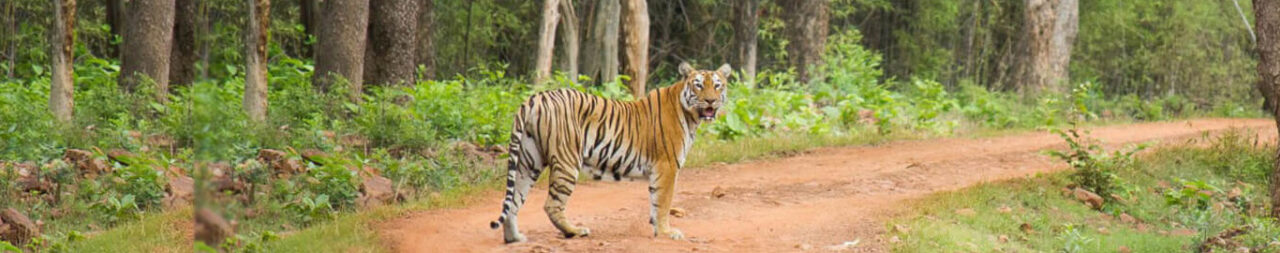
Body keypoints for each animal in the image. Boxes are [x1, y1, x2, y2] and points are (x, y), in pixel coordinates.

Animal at [486, 62, 732, 244]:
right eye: (698, 85)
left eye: (717, 85)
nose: (711, 100)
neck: (691, 116)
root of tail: (535, 98)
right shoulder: (667, 166)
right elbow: (663, 202)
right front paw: (666, 233)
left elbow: (655, 201)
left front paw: (657, 229)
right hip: (567, 160)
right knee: (552, 204)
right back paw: (575, 231)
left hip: (528, 161)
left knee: (513, 201)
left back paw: (514, 238)